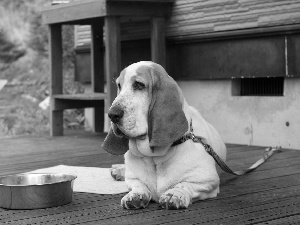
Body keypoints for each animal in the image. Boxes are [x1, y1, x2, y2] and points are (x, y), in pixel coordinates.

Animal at [102, 61, 226, 209]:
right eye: (119, 86)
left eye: (139, 85)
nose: (112, 114)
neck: (154, 157)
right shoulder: (133, 179)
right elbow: (137, 184)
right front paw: (136, 195)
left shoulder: (208, 181)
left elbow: (185, 185)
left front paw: (174, 195)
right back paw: (118, 170)